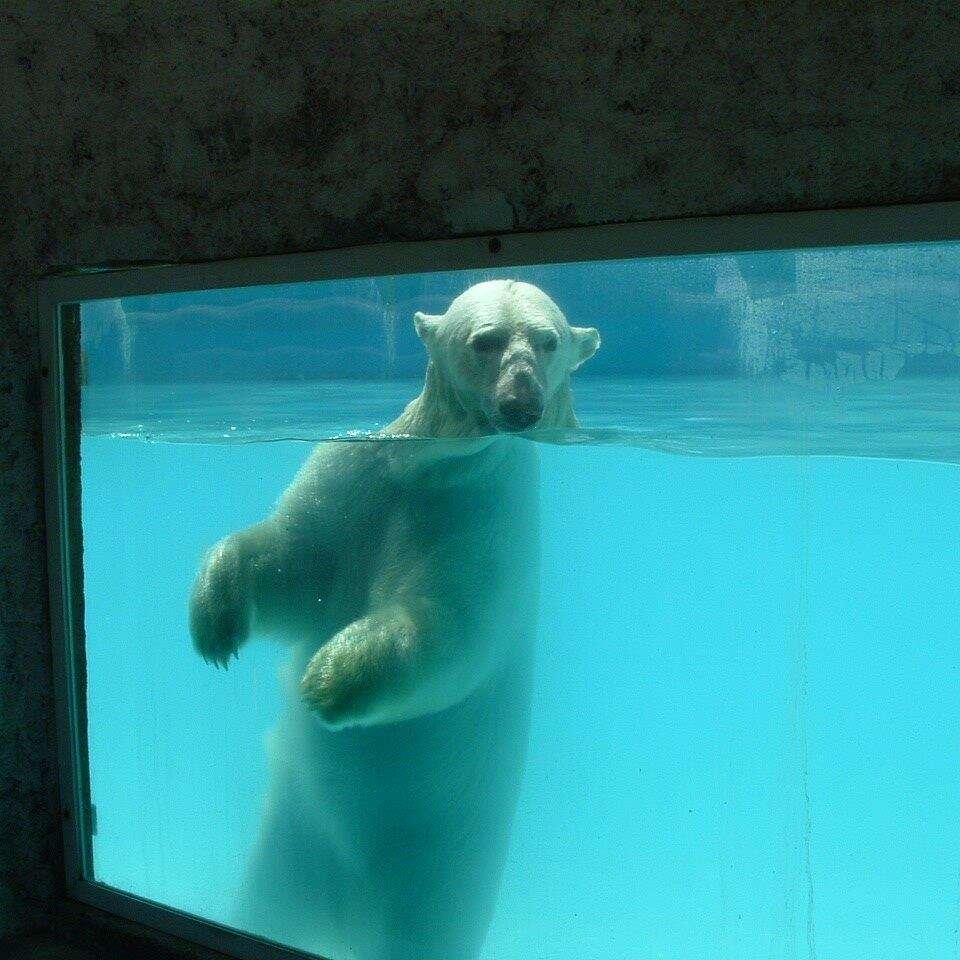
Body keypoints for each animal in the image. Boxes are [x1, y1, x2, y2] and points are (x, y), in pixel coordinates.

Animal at [188, 280, 600, 960]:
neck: (431, 462)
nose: (521, 404)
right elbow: (294, 558)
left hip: (431, 882)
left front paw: (329, 678)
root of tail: (343, 913)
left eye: (548, 340)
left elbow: (445, 628)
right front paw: (215, 617)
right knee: (266, 901)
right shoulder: (363, 475)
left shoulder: (481, 517)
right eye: (485, 339)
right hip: (295, 835)